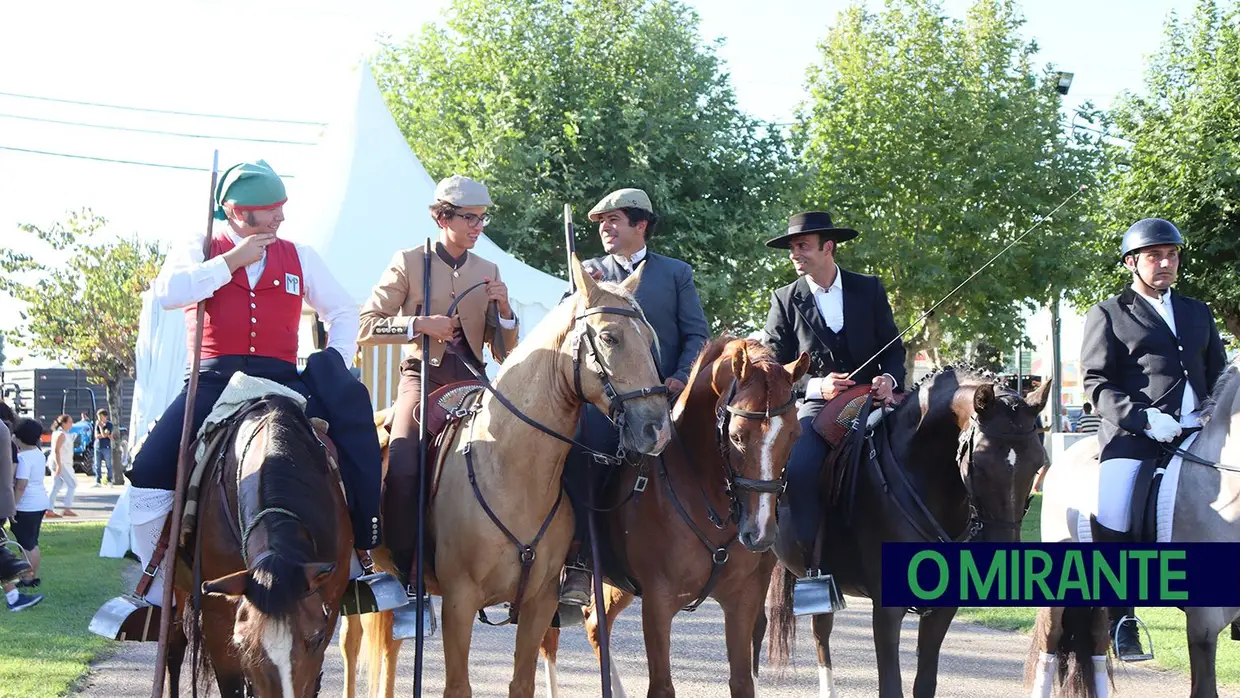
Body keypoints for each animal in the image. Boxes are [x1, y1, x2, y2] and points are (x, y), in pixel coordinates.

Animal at [540, 334, 813, 694]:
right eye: (737, 435)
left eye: (795, 434)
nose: (760, 533)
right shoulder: (658, 602)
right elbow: (662, 686)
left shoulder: (743, 600)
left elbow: (741, 681)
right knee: (547, 639)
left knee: (597, 624)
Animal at [763, 369, 1046, 694]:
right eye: (980, 462)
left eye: (1038, 463)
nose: (1003, 550)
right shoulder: (887, 609)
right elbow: (891, 685)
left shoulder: (944, 607)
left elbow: (925, 682)